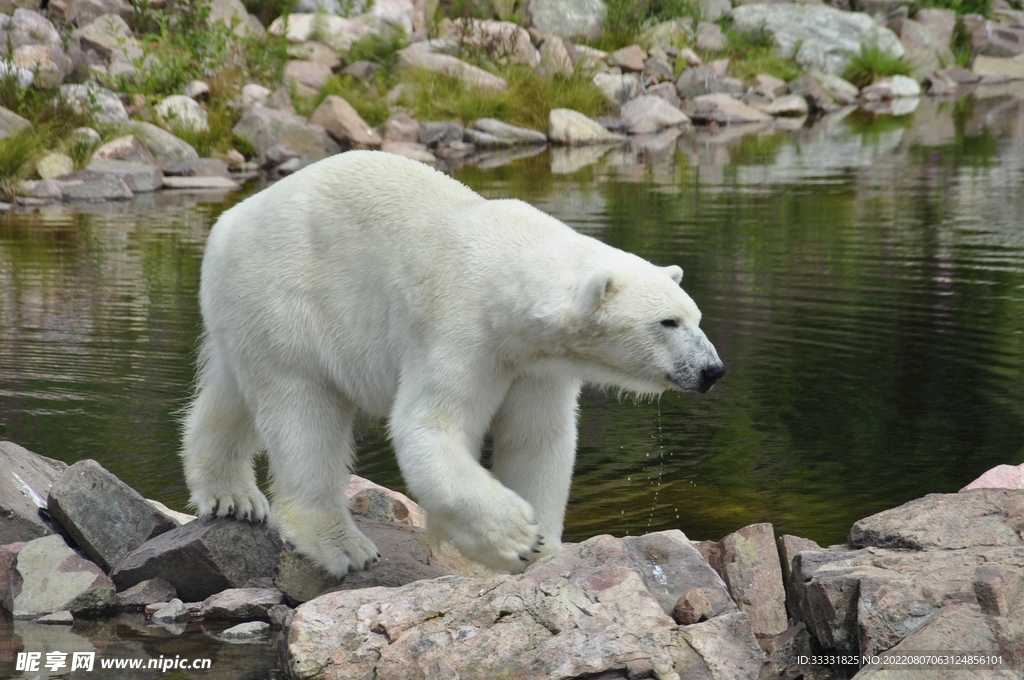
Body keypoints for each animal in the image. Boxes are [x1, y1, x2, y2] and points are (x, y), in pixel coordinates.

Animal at [180, 148, 724, 573]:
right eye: (668, 322)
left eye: (695, 317)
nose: (712, 371)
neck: (509, 280)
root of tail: (227, 223)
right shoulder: (461, 329)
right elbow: (429, 427)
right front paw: (518, 538)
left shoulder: (538, 366)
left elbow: (537, 439)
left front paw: (547, 549)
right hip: (289, 301)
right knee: (303, 413)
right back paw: (341, 545)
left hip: (246, 312)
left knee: (232, 393)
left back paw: (230, 496)